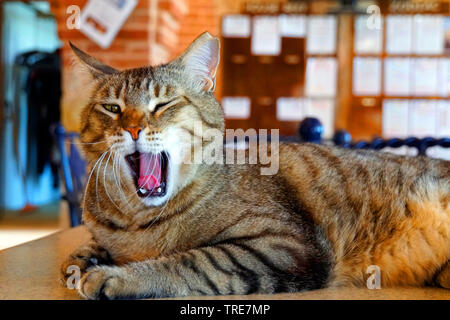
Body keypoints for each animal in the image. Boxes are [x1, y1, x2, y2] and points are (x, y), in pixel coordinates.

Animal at [60, 32, 450, 300]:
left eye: (163, 104)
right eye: (112, 108)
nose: (133, 128)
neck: (138, 220)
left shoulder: (284, 244)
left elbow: (193, 262)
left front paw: (119, 276)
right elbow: (86, 251)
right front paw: (88, 257)